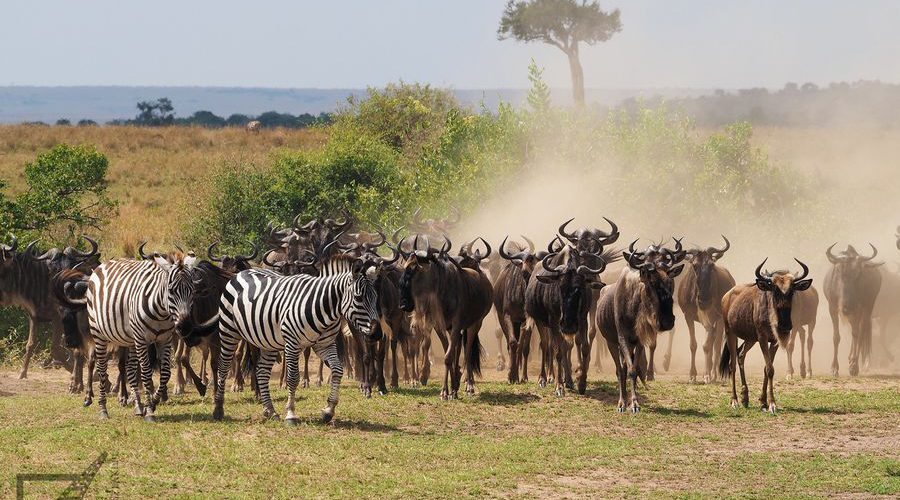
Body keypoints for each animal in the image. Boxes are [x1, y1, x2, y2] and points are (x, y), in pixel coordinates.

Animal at [64, 250, 212, 422]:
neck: (161, 313)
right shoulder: (142, 339)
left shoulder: (164, 339)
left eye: (192, 291)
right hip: (99, 333)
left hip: (129, 338)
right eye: (170, 290)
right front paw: (150, 410)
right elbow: (146, 372)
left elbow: (165, 372)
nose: (186, 327)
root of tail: (102, 265)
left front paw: (152, 402)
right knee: (101, 366)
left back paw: (137, 406)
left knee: (129, 367)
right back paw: (103, 409)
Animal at [213, 252, 382, 424]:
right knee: (223, 367)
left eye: (376, 297)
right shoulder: (292, 343)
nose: (377, 334)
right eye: (359, 298)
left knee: (262, 372)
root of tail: (243, 272)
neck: (322, 308)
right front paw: (291, 414)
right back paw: (218, 409)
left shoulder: (325, 345)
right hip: (228, 330)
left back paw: (270, 411)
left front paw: (328, 410)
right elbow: (293, 377)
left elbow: (337, 370)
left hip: (268, 341)